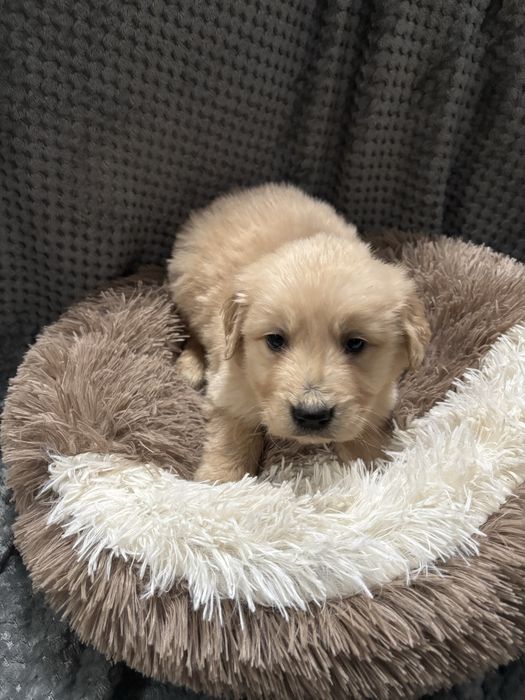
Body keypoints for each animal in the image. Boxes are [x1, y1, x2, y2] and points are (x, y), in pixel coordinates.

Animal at [168, 184, 430, 483]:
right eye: (275, 340)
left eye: (355, 343)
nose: (311, 414)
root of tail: (235, 195)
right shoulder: (229, 387)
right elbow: (231, 438)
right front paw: (219, 481)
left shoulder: (377, 399)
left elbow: (365, 438)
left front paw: (374, 472)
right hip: (185, 284)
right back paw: (191, 365)